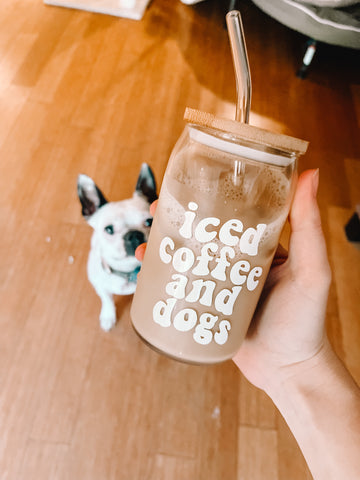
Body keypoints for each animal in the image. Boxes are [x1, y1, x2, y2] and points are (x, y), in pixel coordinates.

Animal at [78, 164, 157, 330]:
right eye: (108, 229)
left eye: (150, 221)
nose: (134, 235)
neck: (128, 271)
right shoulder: (100, 286)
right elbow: (107, 300)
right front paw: (108, 316)